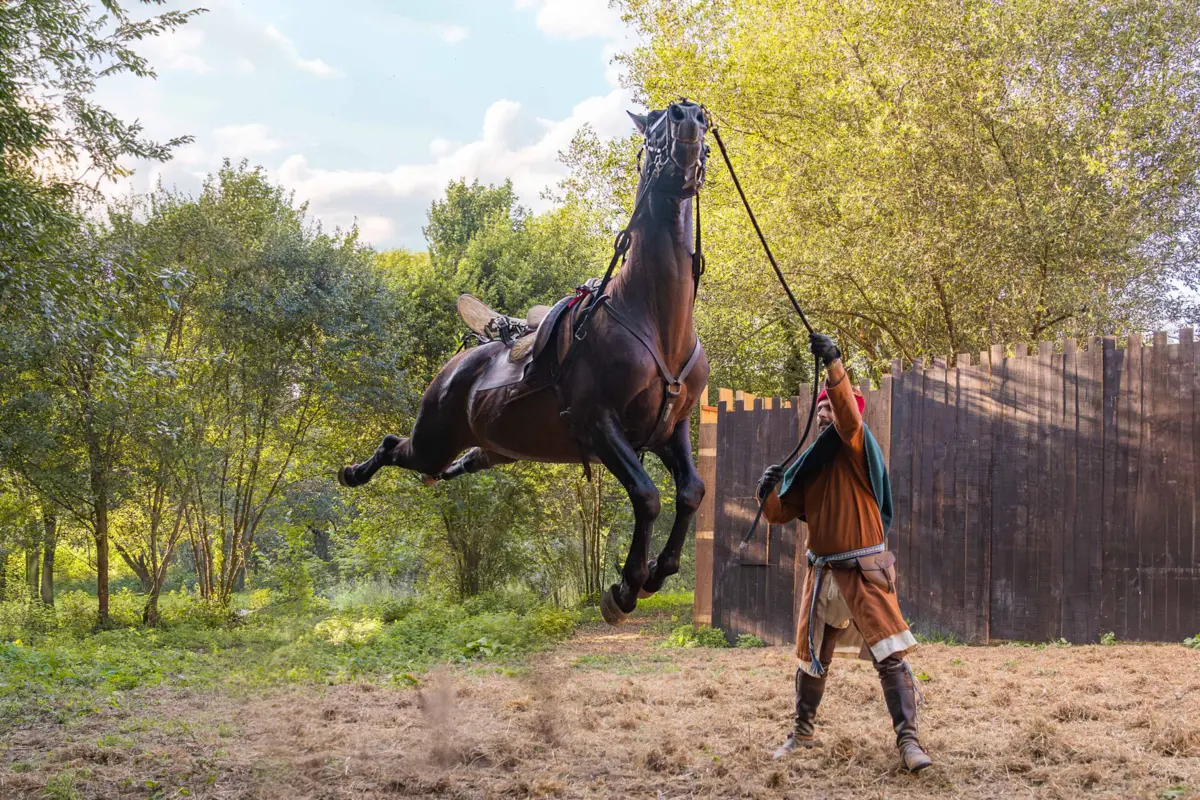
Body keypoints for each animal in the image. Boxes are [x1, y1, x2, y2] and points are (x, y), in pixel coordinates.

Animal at [338, 100, 711, 625]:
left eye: (701, 122)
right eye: (654, 125)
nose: (688, 116)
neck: (654, 318)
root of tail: (459, 361)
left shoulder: (668, 427)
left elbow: (690, 492)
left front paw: (658, 571)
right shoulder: (598, 423)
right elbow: (647, 495)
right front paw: (625, 588)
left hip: (495, 449)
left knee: (457, 462)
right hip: (433, 439)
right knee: (396, 446)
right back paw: (352, 473)